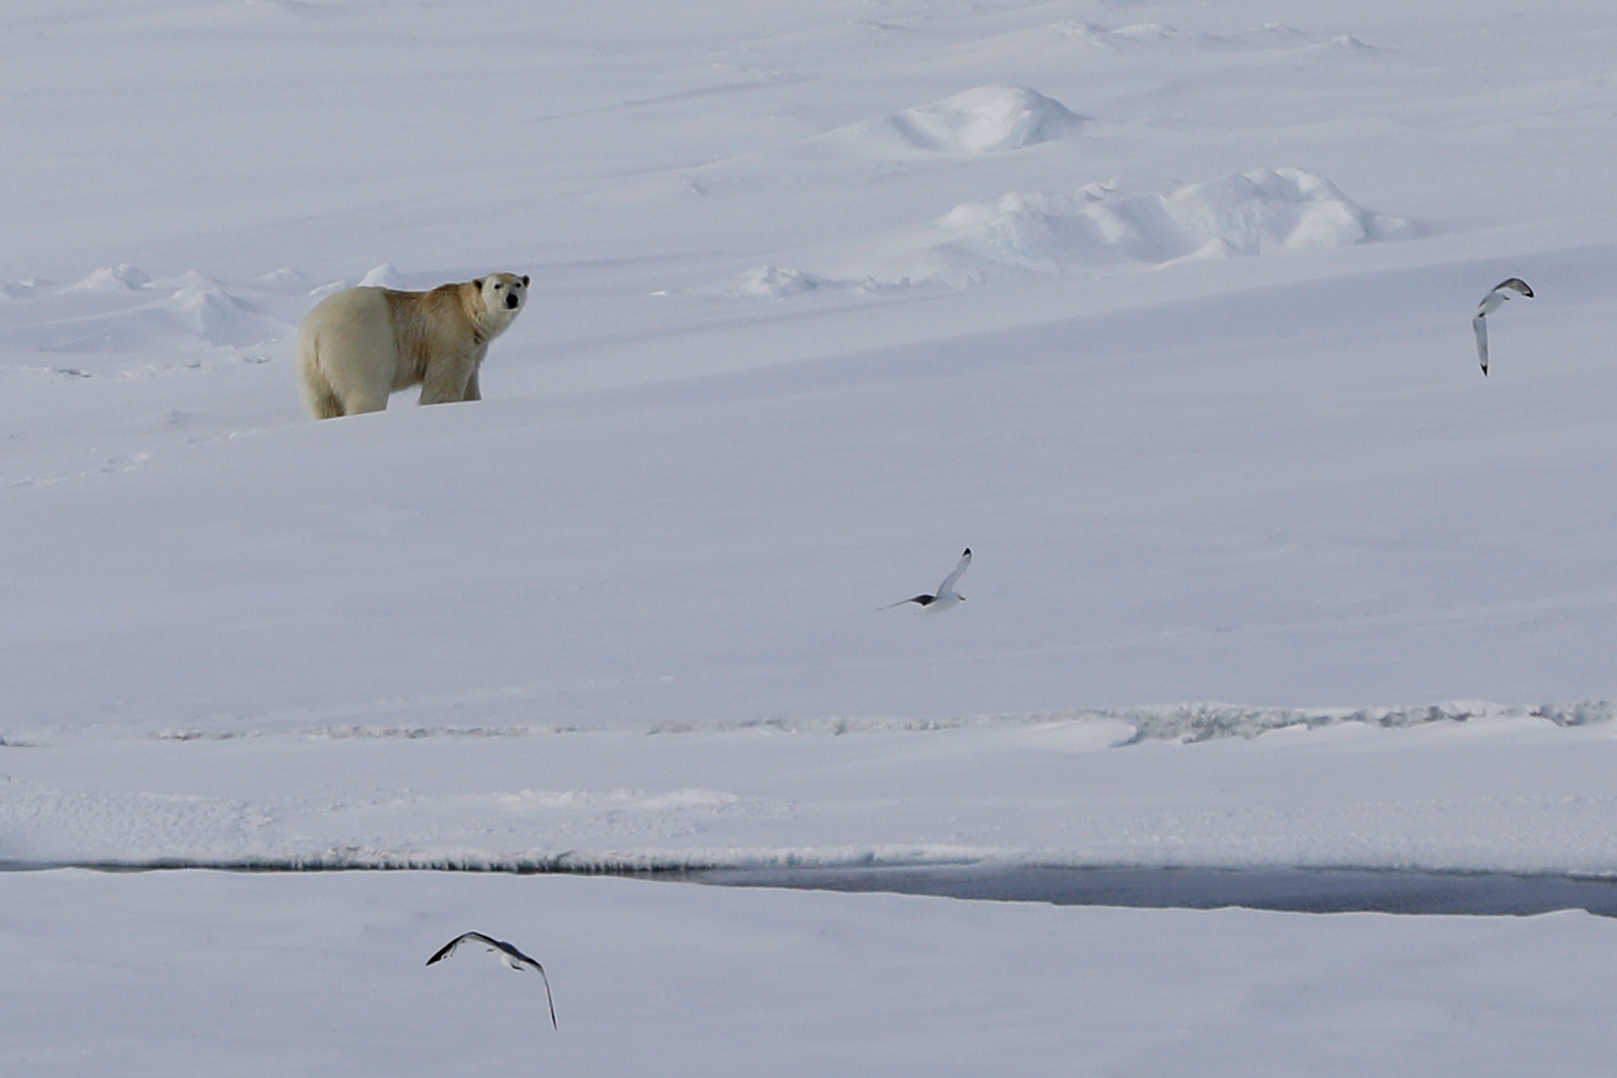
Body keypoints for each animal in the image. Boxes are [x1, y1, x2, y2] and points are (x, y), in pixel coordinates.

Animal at [297, 271, 530, 420]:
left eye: (518, 284)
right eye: (497, 285)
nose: (511, 299)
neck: (467, 313)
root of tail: (315, 334)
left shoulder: (475, 347)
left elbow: (470, 380)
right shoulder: (449, 333)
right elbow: (444, 380)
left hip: (310, 368)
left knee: (322, 403)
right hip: (359, 346)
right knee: (366, 393)